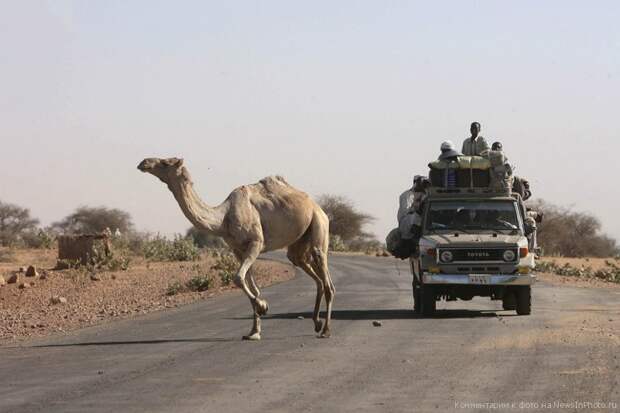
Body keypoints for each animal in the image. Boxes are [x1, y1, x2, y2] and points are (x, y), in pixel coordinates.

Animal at [139, 157, 336, 338]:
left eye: (166, 162)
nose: (144, 163)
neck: (223, 218)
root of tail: (318, 208)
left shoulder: (256, 243)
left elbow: (238, 278)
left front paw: (262, 306)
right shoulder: (238, 250)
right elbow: (250, 285)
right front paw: (254, 332)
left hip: (319, 226)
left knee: (326, 278)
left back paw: (326, 330)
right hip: (298, 244)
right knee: (311, 272)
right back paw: (317, 323)